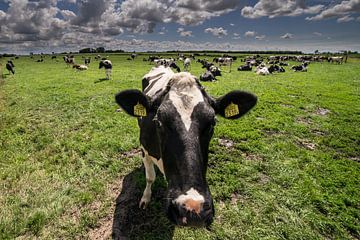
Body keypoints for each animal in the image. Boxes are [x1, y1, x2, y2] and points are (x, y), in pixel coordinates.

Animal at [115, 65, 256, 227]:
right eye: (159, 121)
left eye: (212, 122)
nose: (192, 208)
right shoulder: (144, 149)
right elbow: (150, 177)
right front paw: (145, 198)